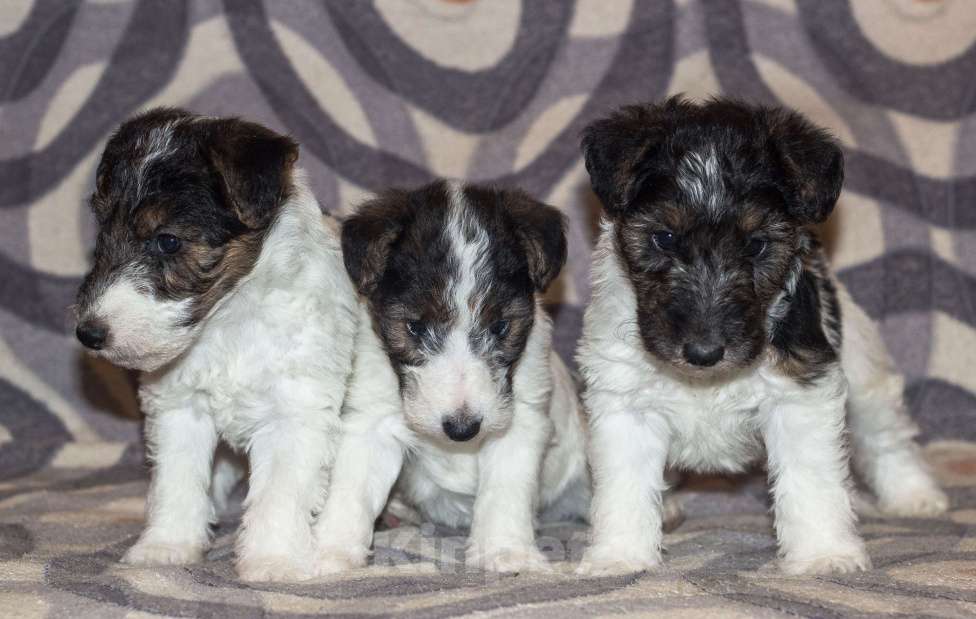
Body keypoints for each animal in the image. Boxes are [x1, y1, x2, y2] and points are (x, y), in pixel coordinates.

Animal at [312, 180, 588, 576]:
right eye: (415, 327)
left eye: (500, 326)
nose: (462, 429)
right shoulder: (370, 421)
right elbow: (351, 486)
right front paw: (330, 551)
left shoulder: (522, 420)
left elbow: (505, 489)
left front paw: (506, 551)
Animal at [576, 95, 948, 576]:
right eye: (664, 238)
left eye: (756, 244)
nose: (703, 352)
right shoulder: (625, 405)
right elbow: (624, 488)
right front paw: (619, 556)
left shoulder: (800, 394)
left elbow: (810, 481)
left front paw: (823, 554)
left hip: (865, 373)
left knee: (887, 437)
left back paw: (914, 495)